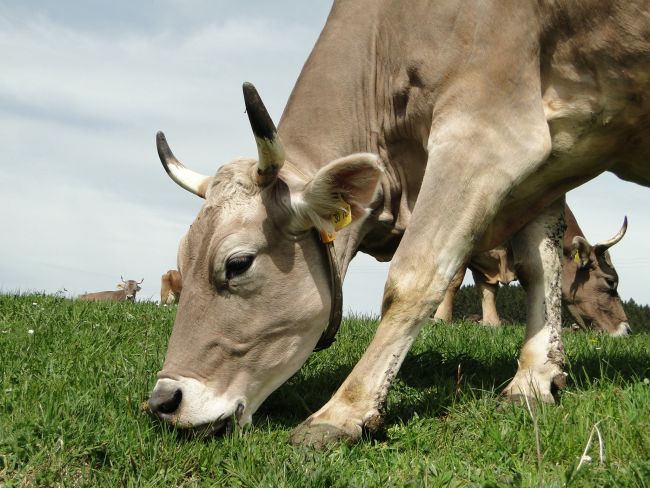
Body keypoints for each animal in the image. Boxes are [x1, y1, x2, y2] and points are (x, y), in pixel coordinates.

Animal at [436, 206, 628, 336]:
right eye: (610, 281)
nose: (627, 329)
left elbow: (488, 291)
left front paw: (492, 324)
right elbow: (453, 281)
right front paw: (442, 319)